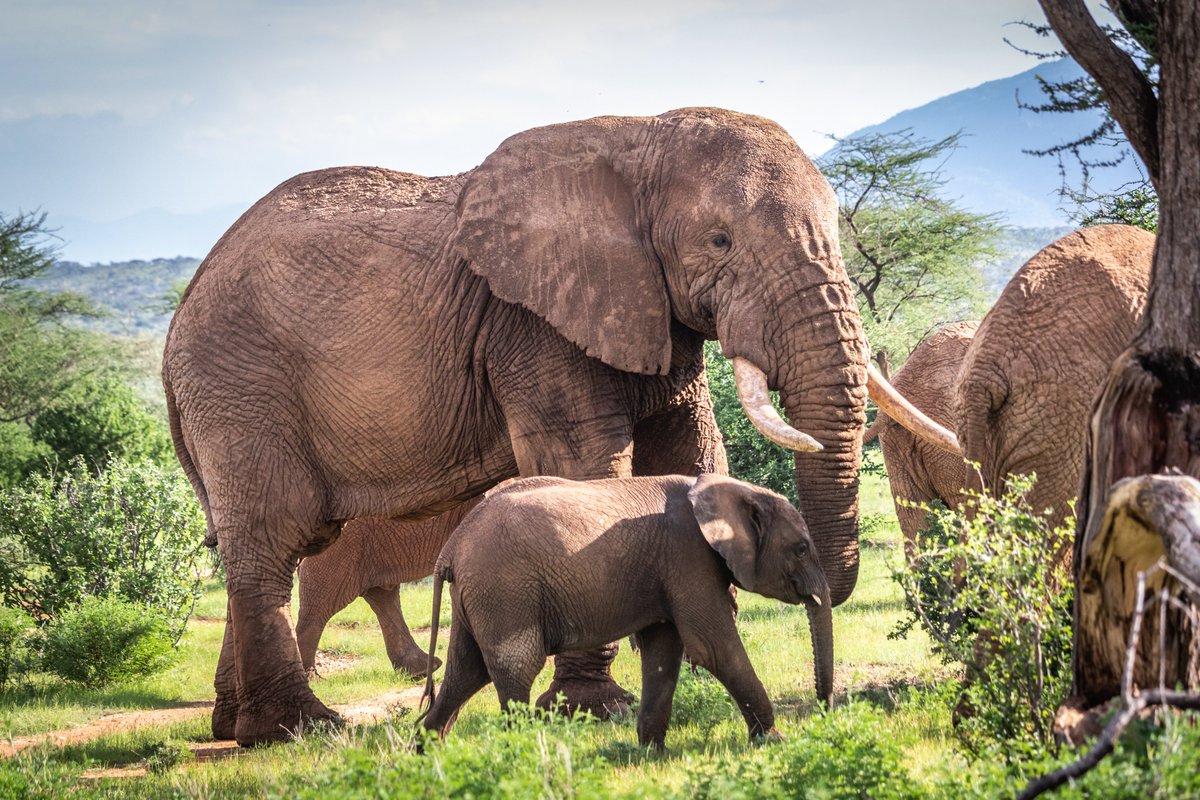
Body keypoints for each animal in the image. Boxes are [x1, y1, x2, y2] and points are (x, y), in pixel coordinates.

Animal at [418, 473, 833, 749]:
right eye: (800, 549)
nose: (825, 712)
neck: (732, 489)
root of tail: (451, 547)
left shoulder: (667, 570)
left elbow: (663, 653)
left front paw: (651, 753)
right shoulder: (687, 558)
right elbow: (714, 649)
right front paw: (775, 741)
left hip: (479, 596)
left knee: (465, 672)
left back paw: (428, 758)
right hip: (505, 591)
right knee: (515, 669)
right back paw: (525, 756)